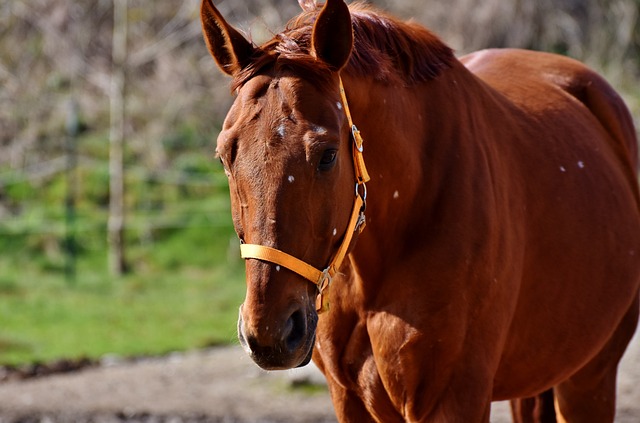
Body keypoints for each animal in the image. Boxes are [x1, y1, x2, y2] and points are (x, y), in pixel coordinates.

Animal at [200, 1, 640, 422]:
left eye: (327, 155)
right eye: (225, 156)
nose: (270, 332)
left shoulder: (453, 400)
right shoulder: (349, 400)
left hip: (589, 379)